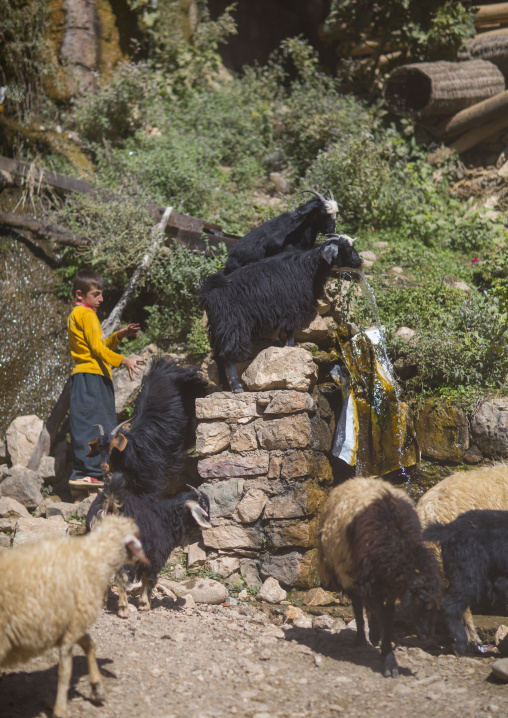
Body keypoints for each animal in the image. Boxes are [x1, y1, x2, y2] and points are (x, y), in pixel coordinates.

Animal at [0, 515, 147, 718]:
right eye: (137, 536)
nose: (145, 560)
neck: (94, 559)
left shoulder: (67, 623)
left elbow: (88, 643)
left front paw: (96, 687)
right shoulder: (72, 625)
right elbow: (66, 670)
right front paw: (60, 709)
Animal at [86, 478, 211, 617]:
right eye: (204, 507)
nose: (208, 523)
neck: (164, 520)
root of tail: (111, 504)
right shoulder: (154, 557)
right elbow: (149, 579)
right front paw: (145, 605)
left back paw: (101, 604)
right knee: (122, 577)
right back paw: (124, 609)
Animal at [200, 234, 362, 392]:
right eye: (347, 249)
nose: (360, 261)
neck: (309, 267)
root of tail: (209, 293)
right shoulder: (291, 309)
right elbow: (290, 331)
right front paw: (291, 347)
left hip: (219, 326)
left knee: (218, 355)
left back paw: (225, 386)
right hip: (232, 324)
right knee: (227, 354)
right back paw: (236, 386)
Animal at [318, 477, 443, 677]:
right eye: (418, 602)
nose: (426, 635)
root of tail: (357, 479)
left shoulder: (391, 585)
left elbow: (388, 615)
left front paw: (384, 649)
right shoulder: (368, 579)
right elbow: (381, 615)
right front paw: (389, 659)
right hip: (348, 571)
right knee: (358, 606)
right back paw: (363, 638)